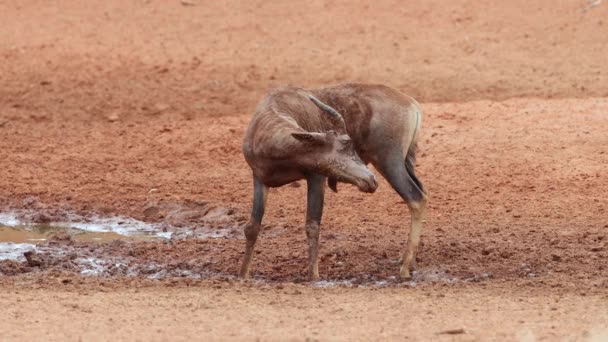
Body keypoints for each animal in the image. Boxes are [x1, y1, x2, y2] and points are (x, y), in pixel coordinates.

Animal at [240, 83, 426, 280]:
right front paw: (243, 274)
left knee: (416, 198)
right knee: (422, 193)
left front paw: (313, 277)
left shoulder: (316, 177)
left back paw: (404, 269)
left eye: (349, 144)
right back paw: (407, 261)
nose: (371, 180)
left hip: (390, 163)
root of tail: (412, 104)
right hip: (406, 162)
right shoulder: (259, 179)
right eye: (344, 146)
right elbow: (252, 227)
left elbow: (312, 225)